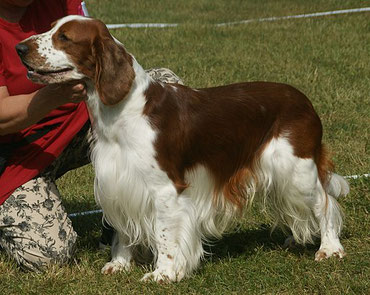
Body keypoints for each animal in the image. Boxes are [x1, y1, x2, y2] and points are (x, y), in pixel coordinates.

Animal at [15, 15, 350, 282]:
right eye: (50, 29)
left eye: (64, 37)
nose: (20, 48)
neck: (123, 112)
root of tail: (304, 100)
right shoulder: (118, 181)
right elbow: (123, 230)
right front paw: (119, 264)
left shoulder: (164, 189)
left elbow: (166, 236)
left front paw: (163, 273)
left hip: (296, 168)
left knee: (324, 202)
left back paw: (329, 248)